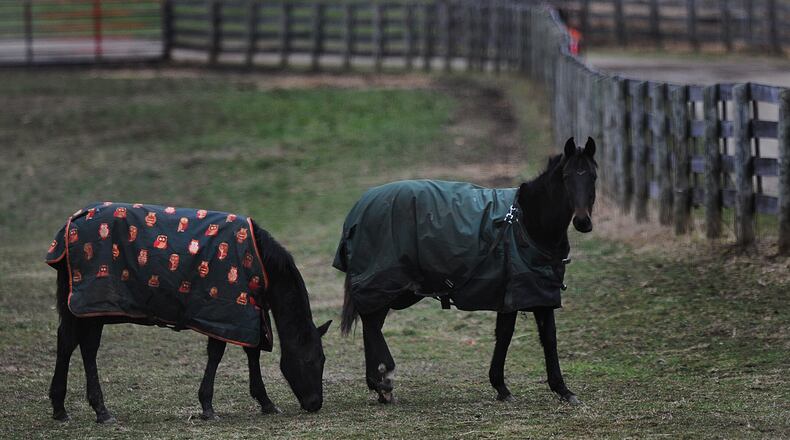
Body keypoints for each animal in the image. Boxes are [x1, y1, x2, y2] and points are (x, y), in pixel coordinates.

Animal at [46, 205, 330, 423]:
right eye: (311, 359)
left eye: (324, 359)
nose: (315, 403)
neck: (259, 261)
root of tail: (71, 224)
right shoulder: (224, 311)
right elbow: (217, 354)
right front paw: (208, 406)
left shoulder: (247, 313)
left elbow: (252, 351)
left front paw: (265, 402)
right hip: (92, 302)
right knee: (83, 346)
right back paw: (99, 411)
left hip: (83, 306)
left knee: (71, 343)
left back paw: (64, 408)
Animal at [334, 137, 596, 405]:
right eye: (566, 176)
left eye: (593, 176)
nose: (582, 222)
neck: (524, 223)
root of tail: (359, 208)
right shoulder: (522, 292)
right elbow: (523, 337)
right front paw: (531, 388)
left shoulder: (527, 292)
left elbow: (532, 336)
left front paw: (544, 388)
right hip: (385, 281)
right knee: (371, 324)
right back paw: (385, 381)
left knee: (371, 325)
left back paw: (378, 385)